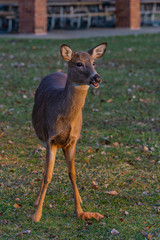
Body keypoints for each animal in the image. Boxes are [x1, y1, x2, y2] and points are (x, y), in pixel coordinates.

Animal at [31, 42, 107, 222]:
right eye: (79, 63)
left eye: (94, 62)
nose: (97, 78)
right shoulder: (50, 139)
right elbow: (47, 175)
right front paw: (37, 215)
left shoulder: (73, 141)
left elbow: (72, 173)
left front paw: (79, 210)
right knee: (45, 171)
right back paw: (36, 202)